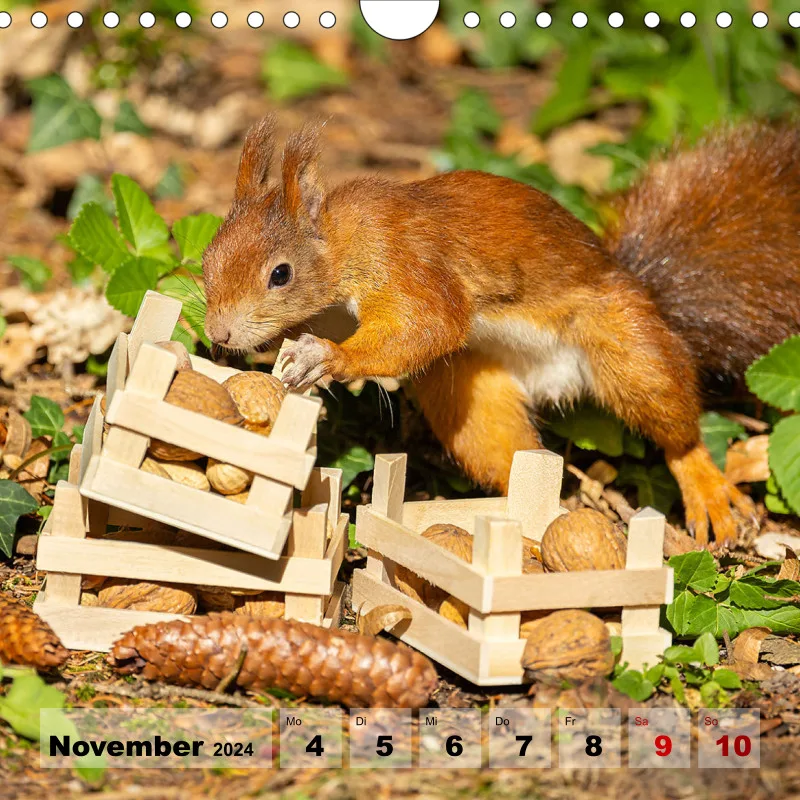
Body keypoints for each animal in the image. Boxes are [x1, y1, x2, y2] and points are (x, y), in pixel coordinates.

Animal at [202, 116, 800, 545]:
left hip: (627, 344)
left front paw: (326, 357)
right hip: (471, 389)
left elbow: (432, 322)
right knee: (512, 456)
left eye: (281, 274)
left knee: (672, 420)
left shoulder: (407, 262)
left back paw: (705, 487)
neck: (342, 245)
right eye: (208, 257)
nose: (220, 335)